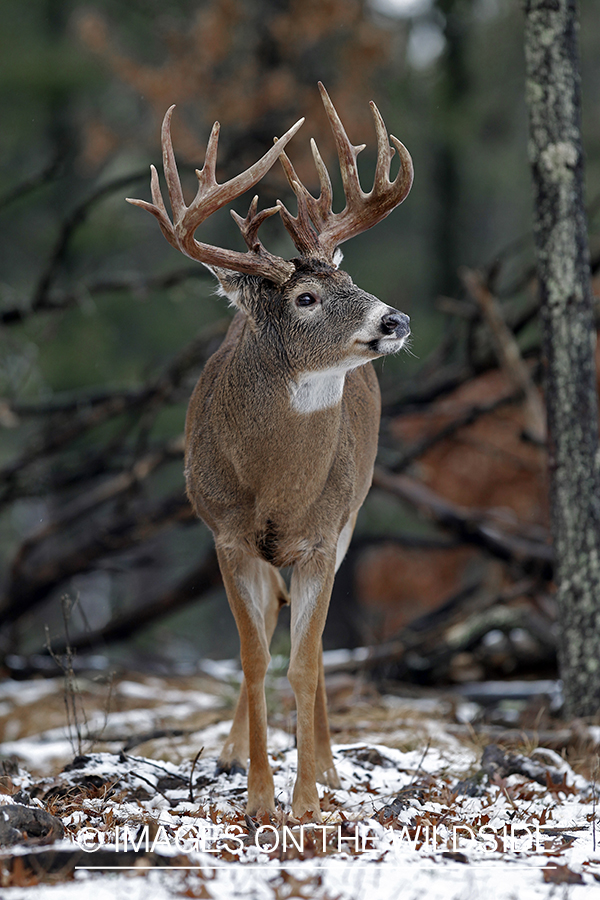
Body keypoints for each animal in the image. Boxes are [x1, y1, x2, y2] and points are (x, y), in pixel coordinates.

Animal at [127, 84, 412, 824]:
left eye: (348, 279)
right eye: (307, 297)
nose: (395, 319)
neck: (276, 487)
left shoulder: (323, 534)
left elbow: (304, 662)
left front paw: (307, 797)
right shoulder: (226, 534)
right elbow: (253, 658)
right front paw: (258, 796)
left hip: (352, 516)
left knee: (311, 643)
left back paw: (332, 765)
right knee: (261, 630)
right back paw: (231, 753)